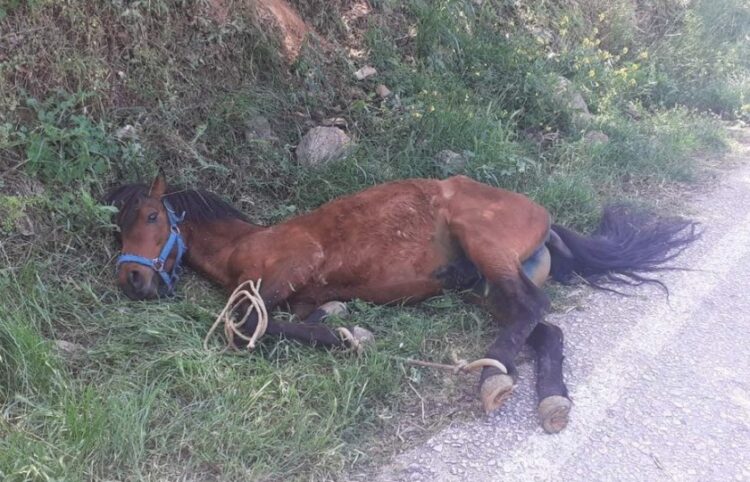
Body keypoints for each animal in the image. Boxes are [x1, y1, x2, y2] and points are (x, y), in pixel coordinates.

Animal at [108, 173, 704, 434]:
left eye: (153, 217)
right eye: (119, 227)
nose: (132, 280)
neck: (245, 243)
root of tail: (545, 217)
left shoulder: (287, 271)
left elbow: (247, 325)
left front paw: (353, 336)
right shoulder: (299, 297)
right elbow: (294, 320)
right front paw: (343, 327)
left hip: (486, 249)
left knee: (532, 308)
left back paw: (493, 376)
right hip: (485, 287)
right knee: (538, 324)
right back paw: (549, 397)